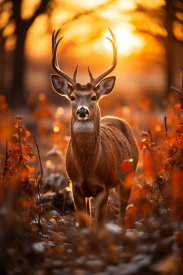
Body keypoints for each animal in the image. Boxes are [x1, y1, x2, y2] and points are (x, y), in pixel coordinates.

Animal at [50, 29, 139, 230]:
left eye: (93, 97)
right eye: (72, 97)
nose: (82, 111)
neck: (87, 167)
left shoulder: (103, 186)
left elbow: (99, 224)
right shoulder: (75, 186)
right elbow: (84, 224)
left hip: (129, 175)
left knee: (122, 214)